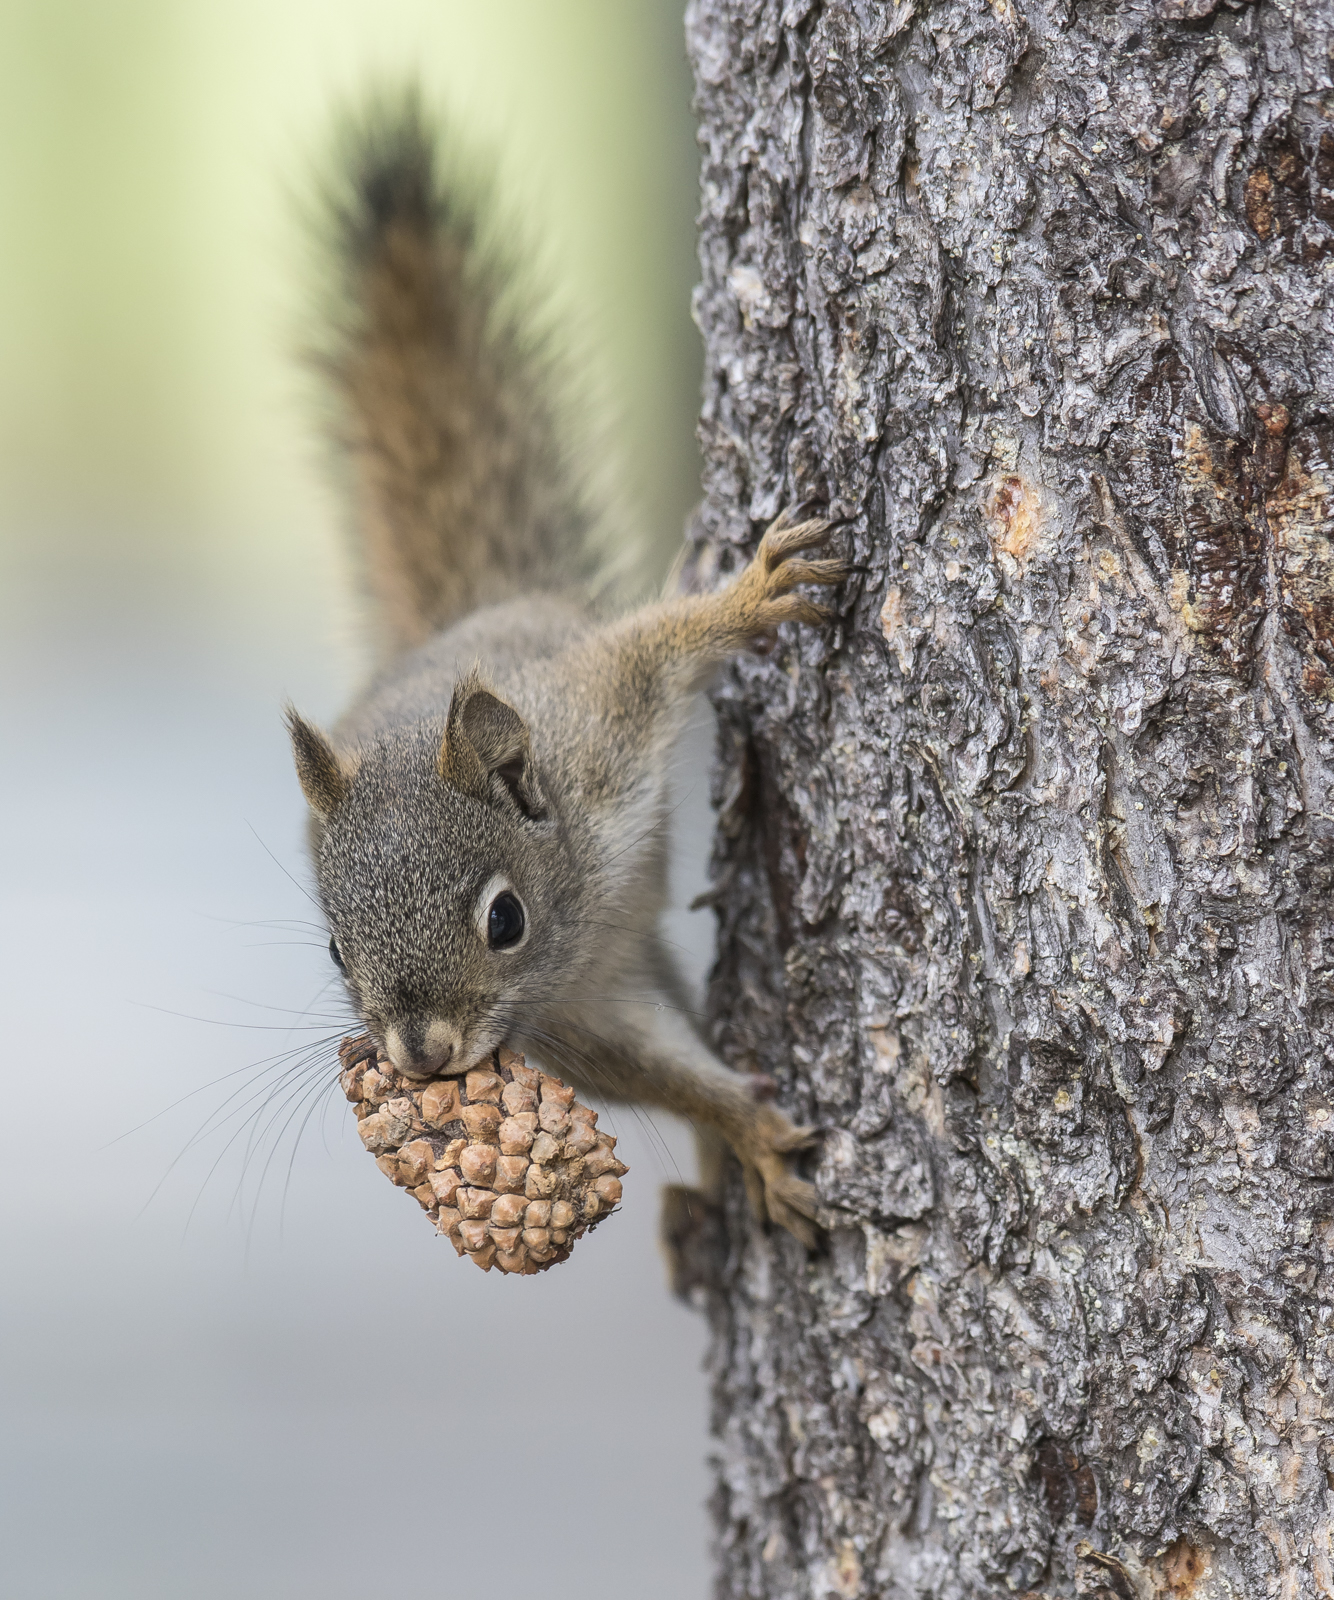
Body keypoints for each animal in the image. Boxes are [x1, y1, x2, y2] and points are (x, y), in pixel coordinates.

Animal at [286, 94, 846, 1247]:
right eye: (333, 952)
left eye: (504, 920)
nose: (424, 1058)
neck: (579, 910)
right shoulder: (576, 1020)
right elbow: (658, 1071)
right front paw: (750, 1135)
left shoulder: (603, 717)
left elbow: (662, 643)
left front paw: (747, 595)